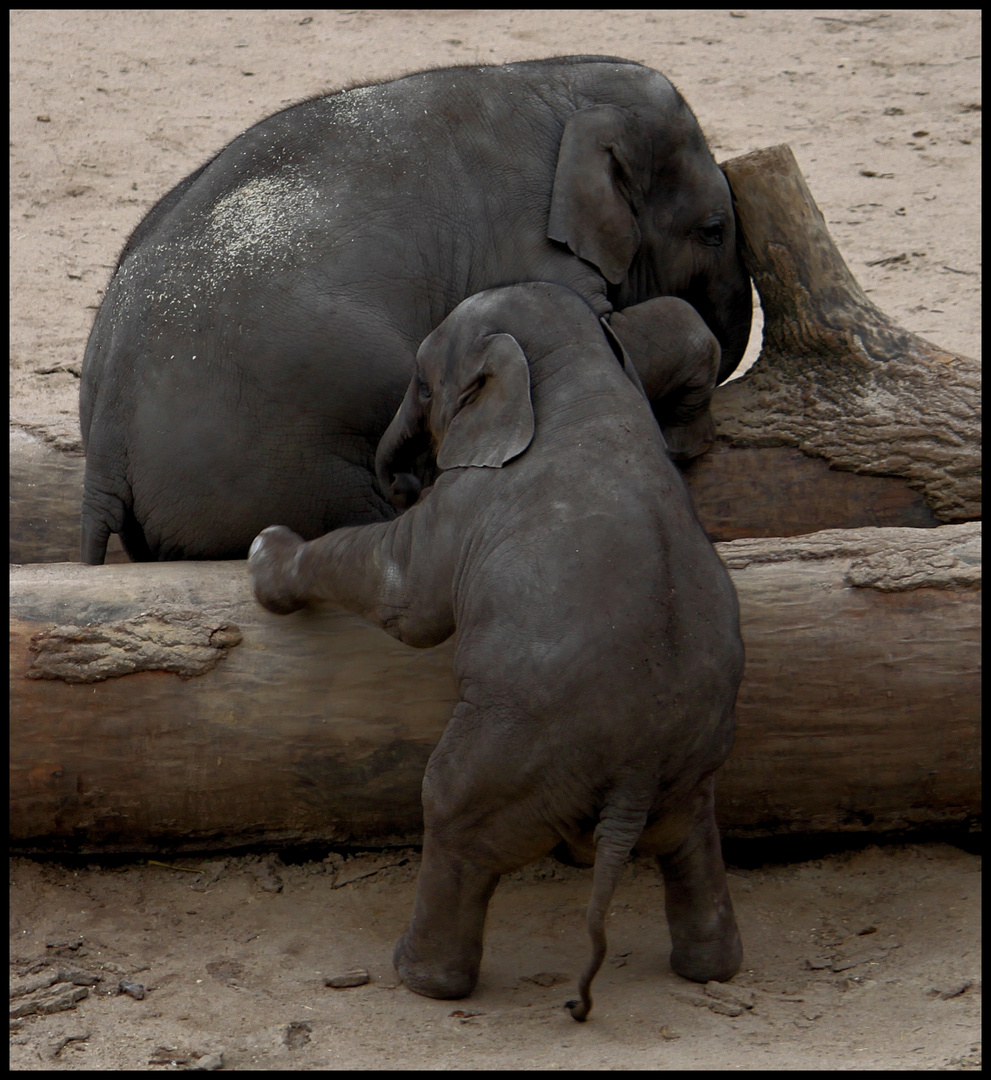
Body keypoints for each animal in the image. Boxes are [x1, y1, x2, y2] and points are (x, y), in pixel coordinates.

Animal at [81, 56, 751, 565]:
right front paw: (685, 437)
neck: (559, 82)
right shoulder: (529, 243)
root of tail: (104, 453)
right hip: (290, 464)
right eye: (714, 231)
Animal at [250, 280, 742, 1019]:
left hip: (512, 758)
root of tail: (633, 778)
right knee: (694, 845)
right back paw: (711, 970)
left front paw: (266, 552)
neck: (578, 370)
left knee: (449, 810)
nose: (403, 481)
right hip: (688, 779)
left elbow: (406, 597)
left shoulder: (470, 497)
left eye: (425, 385)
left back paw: (420, 977)